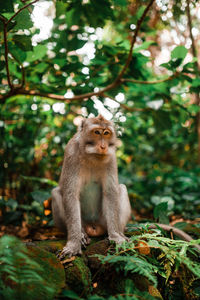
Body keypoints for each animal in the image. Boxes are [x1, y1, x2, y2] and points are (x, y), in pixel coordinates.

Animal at [52, 115, 131, 258]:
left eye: (106, 133)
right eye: (97, 132)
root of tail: (94, 228)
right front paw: (74, 244)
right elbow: (70, 195)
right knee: (56, 193)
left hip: (103, 221)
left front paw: (116, 236)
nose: (103, 146)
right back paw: (82, 234)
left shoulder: (112, 157)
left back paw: (119, 233)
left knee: (122, 189)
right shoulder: (71, 153)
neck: (92, 156)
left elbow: (110, 193)